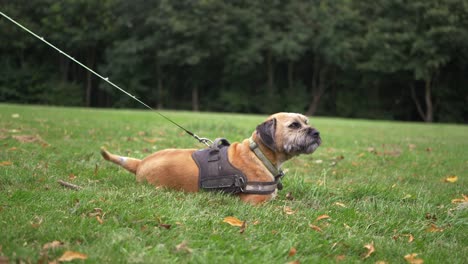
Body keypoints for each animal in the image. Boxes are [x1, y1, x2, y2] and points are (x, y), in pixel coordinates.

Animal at [101, 111, 322, 204]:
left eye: (306, 122)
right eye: (294, 125)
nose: (316, 132)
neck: (258, 154)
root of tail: (140, 163)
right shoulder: (257, 203)